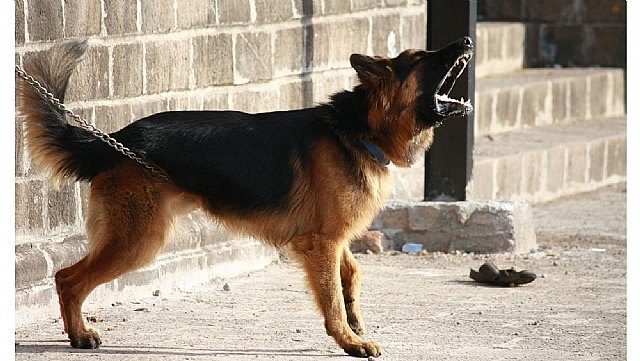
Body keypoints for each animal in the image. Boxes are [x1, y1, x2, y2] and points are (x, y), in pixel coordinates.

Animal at [17, 36, 472, 358]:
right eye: (422, 58)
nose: (467, 41)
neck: (358, 129)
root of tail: (115, 140)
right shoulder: (321, 243)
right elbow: (331, 298)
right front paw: (349, 341)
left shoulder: (332, 238)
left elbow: (352, 273)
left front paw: (355, 321)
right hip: (139, 240)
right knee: (66, 278)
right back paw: (79, 334)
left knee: (68, 278)